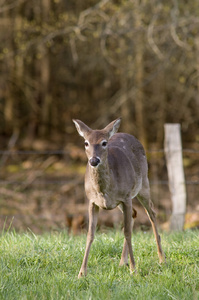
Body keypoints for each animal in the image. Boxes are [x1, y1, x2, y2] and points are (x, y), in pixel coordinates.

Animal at [72, 118, 166, 278]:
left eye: (104, 143)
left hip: (143, 184)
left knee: (152, 213)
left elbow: (127, 232)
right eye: (86, 143)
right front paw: (81, 273)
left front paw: (134, 270)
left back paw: (161, 258)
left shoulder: (126, 197)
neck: (104, 191)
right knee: (135, 213)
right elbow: (90, 234)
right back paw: (123, 262)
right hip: (123, 201)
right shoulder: (92, 201)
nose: (94, 160)